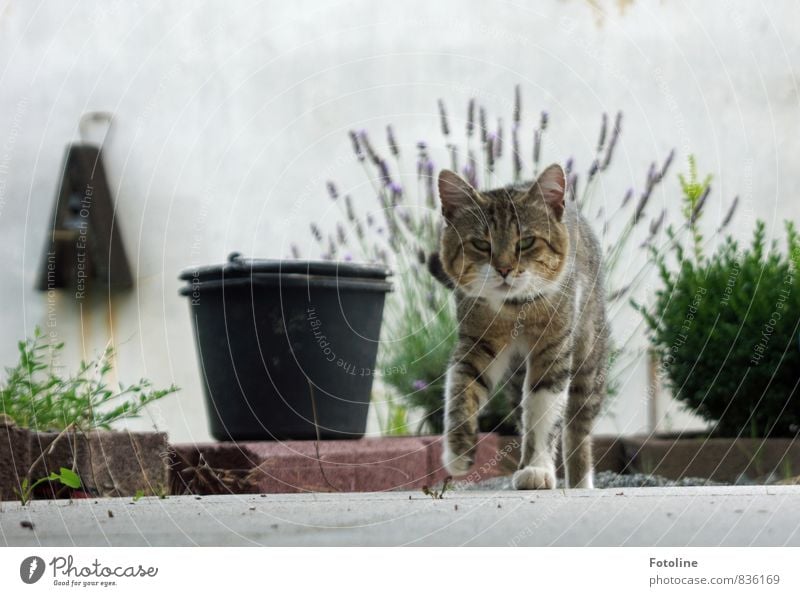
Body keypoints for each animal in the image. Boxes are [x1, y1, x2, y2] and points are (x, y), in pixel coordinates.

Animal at [434, 163, 608, 488]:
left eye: (526, 241)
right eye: (481, 244)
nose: (504, 269)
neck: (514, 308)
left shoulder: (554, 346)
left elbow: (544, 410)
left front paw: (538, 468)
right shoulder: (476, 341)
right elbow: (462, 387)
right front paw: (458, 451)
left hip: (589, 356)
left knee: (577, 427)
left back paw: (580, 481)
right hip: (515, 379)